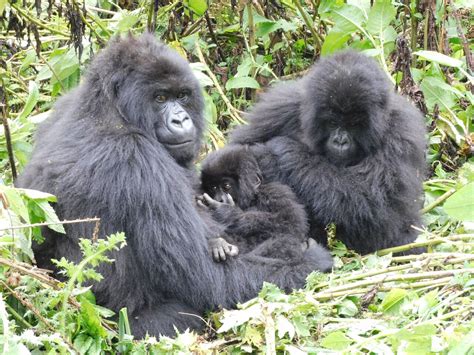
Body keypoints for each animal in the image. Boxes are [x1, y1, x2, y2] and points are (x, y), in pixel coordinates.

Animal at [196, 145, 334, 272]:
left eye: (226, 186)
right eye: (213, 188)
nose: (219, 199)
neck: (253, 197)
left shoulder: (275, 192)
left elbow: (292, 223)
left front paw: (226, 212)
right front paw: (217, 243)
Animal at [230, 50, 426, 256]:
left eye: (353, 124)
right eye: (332, 122)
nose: (340, 141)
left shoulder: (401, 132)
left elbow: (373, 202)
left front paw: (279, 153)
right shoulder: (279, 108)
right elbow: (235, 151)